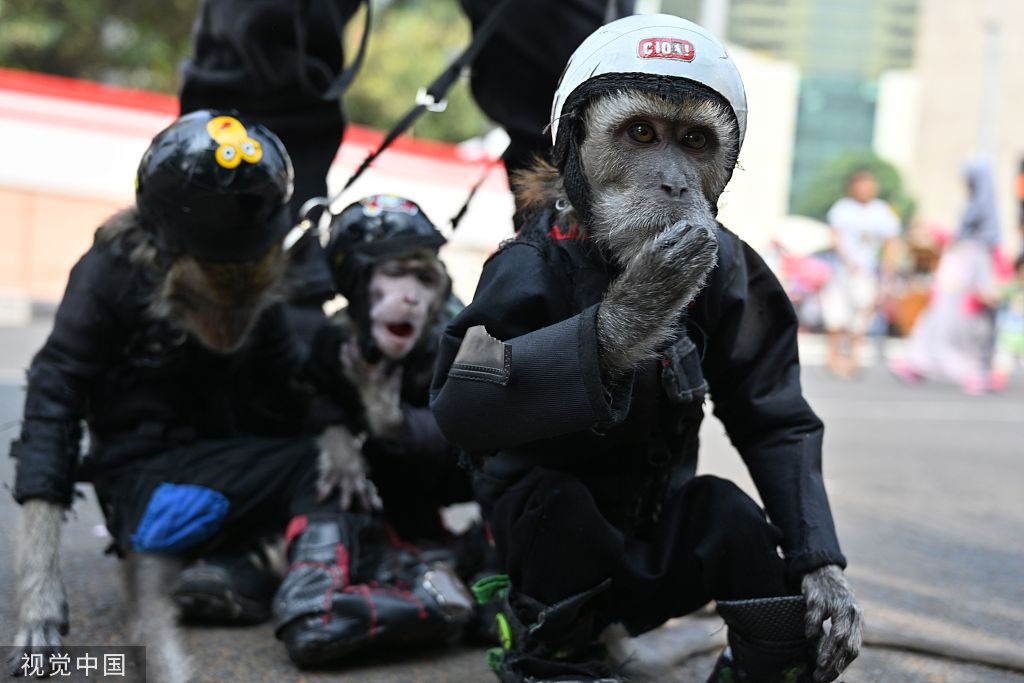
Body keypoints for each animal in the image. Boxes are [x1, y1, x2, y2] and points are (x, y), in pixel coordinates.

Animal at [432, 12, 864, 683]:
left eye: (693, 141)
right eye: (641, 133)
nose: (674, 184)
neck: (600, 250)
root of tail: (618, 629)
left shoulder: (738, 264)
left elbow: (773, 420)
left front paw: (825, 580)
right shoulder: (514, 272)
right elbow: (462, 396)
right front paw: (639, 308)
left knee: (731, 517)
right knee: (553, 501)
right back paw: (554, 657)